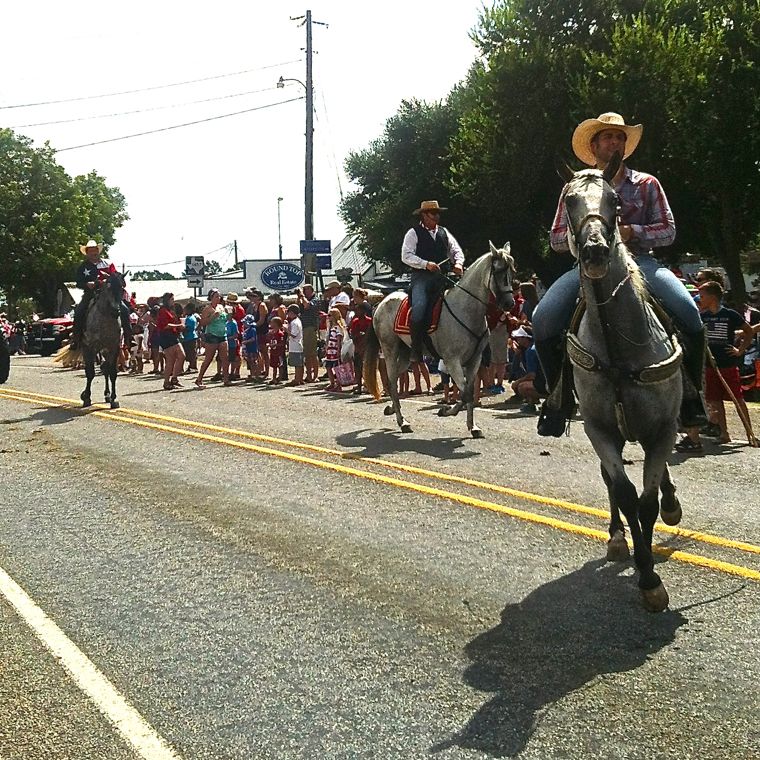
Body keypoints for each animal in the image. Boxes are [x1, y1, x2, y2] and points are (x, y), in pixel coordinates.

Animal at [80, 270, 124, 406]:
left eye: (122, 288)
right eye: (108, 288)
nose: (116, 311)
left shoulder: (114, 347)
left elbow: (112, 372)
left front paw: (113, 398)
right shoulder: (91, 347)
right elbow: (90, 372)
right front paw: (86, 397)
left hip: (104, 350)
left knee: (105, 369)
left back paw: (107, 394)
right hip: (88, 348)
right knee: (93, 369)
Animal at [364, 243, 516, 440]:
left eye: (512, 271)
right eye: (498, 272)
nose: (509, 303)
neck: (466, 310)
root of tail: (381, 303)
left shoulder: (474, 360)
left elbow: (468, 391)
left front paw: (473, 427)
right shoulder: (452, 361)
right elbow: (465, 394)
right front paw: (446, 411)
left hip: (406, 354)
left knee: (395, 379)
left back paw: (391, 409)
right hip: (390, 350)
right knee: (391, 381)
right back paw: (402, 422)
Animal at [560, 154, 684, 612]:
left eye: (615, 201)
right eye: (569, 200)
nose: (595, 250)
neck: (619, 346)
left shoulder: (663, 428)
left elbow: (647, 502)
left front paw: (651, 580)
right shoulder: (599, 429)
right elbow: (627, 494)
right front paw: (645, 572)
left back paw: (671, 505)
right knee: (611, 482)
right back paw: (616, 538)